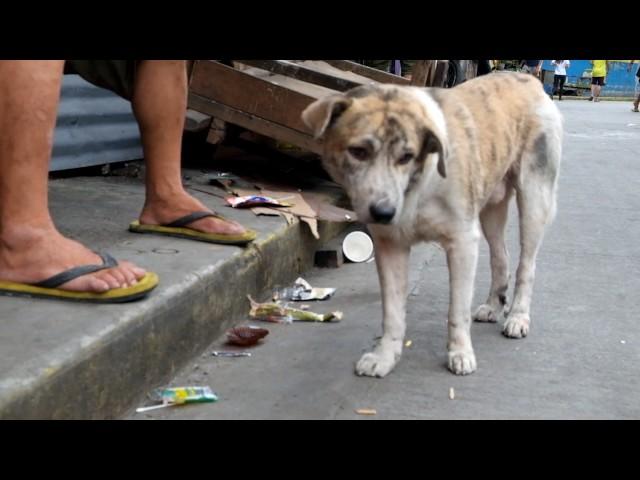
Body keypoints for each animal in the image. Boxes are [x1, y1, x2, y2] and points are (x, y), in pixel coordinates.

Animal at [300, 73, 560, 376]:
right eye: (358, 151)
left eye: (406, 156)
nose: (384, 212)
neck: (418, 187)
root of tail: (530, 79)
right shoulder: (390, 244)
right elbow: (392, 311)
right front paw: (385, 356)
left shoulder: (462, 242)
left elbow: (457, 310)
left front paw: (460, 353)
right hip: (490, 208)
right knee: (500, 257)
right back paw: (493, 306)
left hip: (534, 197)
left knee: (526, 266)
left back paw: (518, 317)